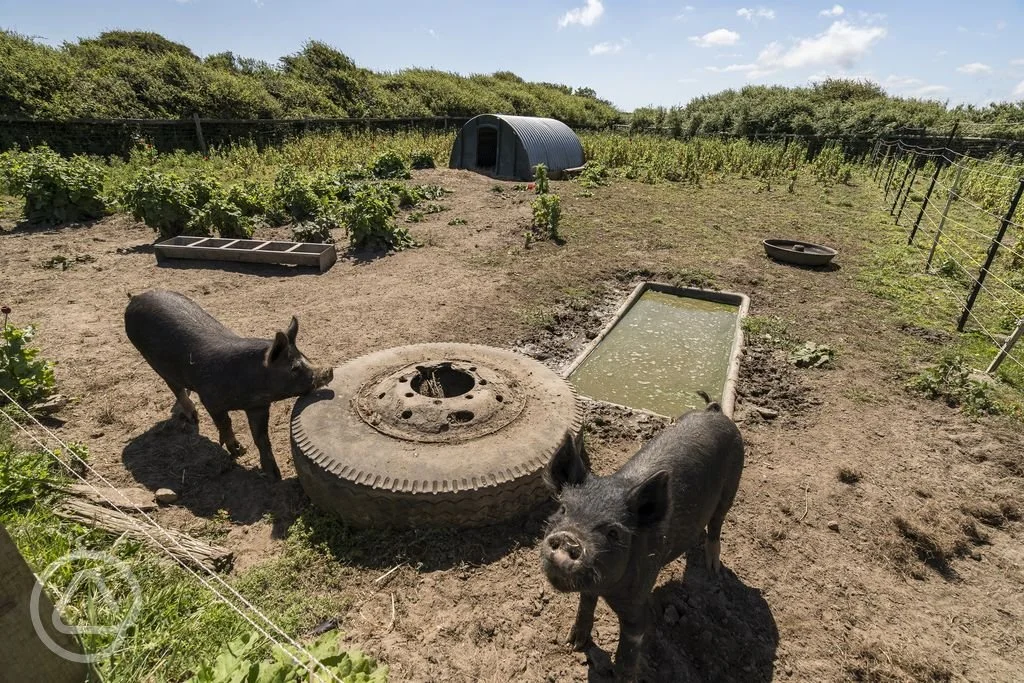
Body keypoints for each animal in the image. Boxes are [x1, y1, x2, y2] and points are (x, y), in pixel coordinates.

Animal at [123, 289, 333, 481]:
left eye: (305, 356)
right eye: (294, 367)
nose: (328, 370)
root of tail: (136, 297)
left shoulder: (258, 407)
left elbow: (261, 437)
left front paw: (273, 475)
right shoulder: (211, 400)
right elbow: (225, 423)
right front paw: (238, 451)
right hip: (154, 361)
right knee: (175, 388)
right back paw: (193, 418)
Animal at [540, 391, 745, 680]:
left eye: (613, 532)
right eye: (563, 509)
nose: (570, 539)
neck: (607, 588)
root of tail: (716, 412)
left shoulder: (638, 606)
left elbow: (628, 652)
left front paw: (621, 675)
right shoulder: (590, 588)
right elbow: (585, 605)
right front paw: (574, 643)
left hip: (732, 484)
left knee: (717, 525)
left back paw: (713, 568)